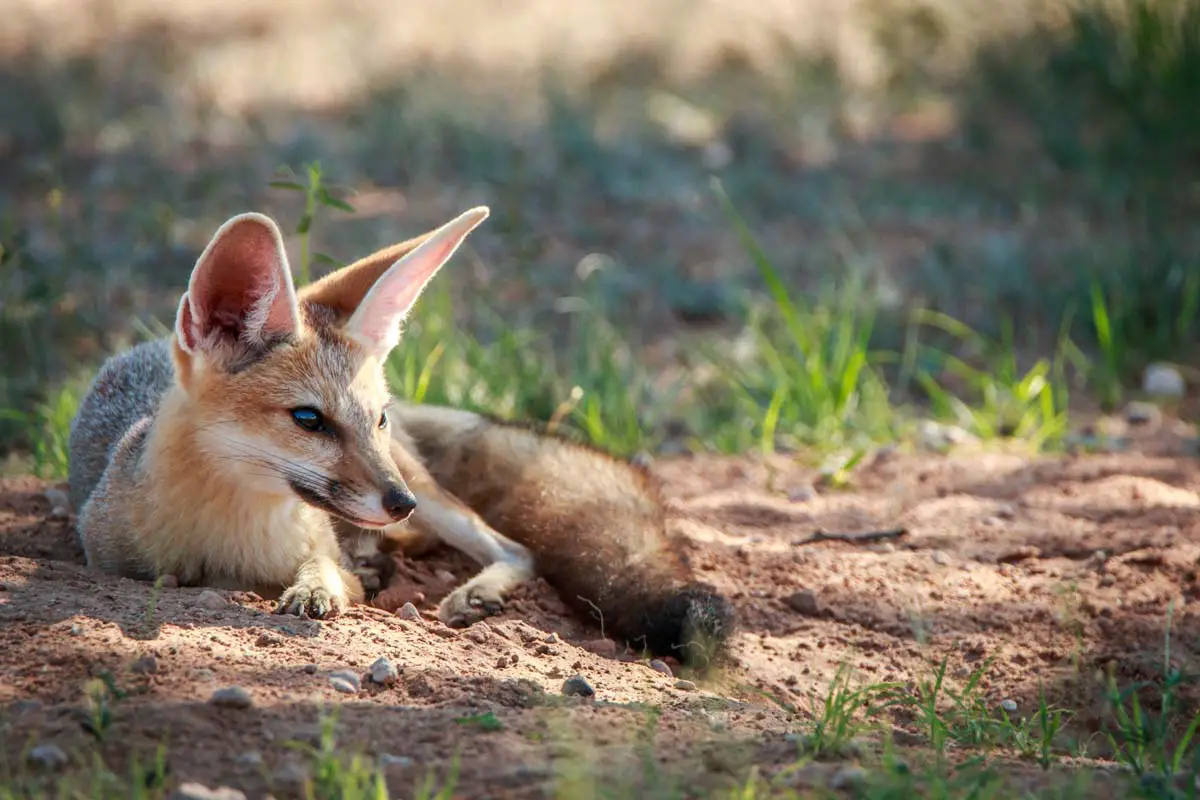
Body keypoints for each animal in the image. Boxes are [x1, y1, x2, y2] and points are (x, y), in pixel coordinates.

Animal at [67, 205, 735, 667]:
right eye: (309, 419)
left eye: (377, 418)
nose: (399, 502)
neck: (234, 540)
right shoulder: (109, 556)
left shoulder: (334, 541)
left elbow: (329, 570)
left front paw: (316, 589)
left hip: (435, 498)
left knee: (516, 549)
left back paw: (468, 590)